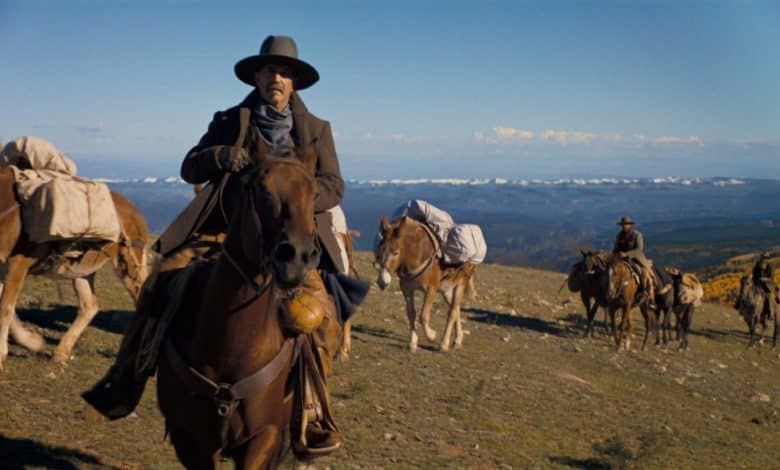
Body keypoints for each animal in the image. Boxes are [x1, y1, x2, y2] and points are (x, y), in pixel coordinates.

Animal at [0, 167, 148, 370]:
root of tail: (136, 212)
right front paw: (33, 341)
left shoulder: (18, 263)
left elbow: (6, 307)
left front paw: (2, 353)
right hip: (82, 271)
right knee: (89, 306)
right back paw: (61, 352)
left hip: (128, 266)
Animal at [156, 152, 342, 468]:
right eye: (261, 190)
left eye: (314, 194)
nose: (297, 258)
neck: (230, 351)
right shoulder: (190, 441)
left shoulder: (264, 436)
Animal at [374, 215, 476, 350]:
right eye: (379, 253)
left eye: (395, 252)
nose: (382, 282)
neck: (418, 254)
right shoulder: (407, 290)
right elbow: (411, 314)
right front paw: (413, 342)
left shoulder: (431, 289)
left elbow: (423, 316)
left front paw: (432, 335)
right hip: (446, 290)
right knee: (456, 309)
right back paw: (458, 339)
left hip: (460, 284)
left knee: (453, 312)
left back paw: (444, 344)